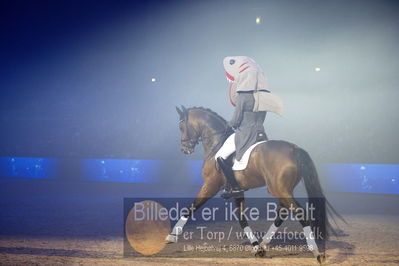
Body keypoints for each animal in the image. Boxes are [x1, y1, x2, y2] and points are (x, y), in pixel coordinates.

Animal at [166, 105, 344, 264]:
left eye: (181, 126)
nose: (185, 149)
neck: (217, 142)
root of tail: (294, 148)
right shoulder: (237, 191)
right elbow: (242, 219)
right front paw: (256, 247)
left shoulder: (210, 185)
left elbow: (191, 207)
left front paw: (172, 236)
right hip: (282, 190)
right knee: (282, 213)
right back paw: (263, 245)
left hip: (279, 189)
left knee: (299, 213)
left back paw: (317, 253)